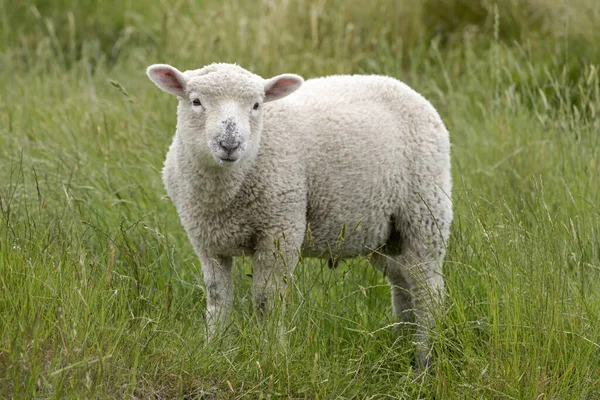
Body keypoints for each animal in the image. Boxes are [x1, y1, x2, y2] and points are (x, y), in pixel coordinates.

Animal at [148, 61, 452, 366]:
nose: (230, 144)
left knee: (428, 290)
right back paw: (403, 343)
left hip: (425, 212)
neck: (224, 193)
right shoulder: (205, 240)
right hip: (386, 234)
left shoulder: (281, 229)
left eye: (257, 105)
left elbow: (266, 299)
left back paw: (424, 355)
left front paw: (269, 351)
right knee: (403, 284)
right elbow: (217, 298)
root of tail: (406, 89)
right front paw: (214, 348)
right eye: (196, 101)